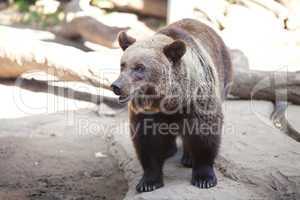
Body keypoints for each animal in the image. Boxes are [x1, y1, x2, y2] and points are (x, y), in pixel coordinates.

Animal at [111, 18, 233, 192]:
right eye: (123, 65)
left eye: (139, 67)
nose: (117, 86)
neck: (169, 100)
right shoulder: (147, 111)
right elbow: (147, 140)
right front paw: (148, 182)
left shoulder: (197, 99)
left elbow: (205, 133)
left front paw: (204, 178)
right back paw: (169, 150)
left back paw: (188, 158)